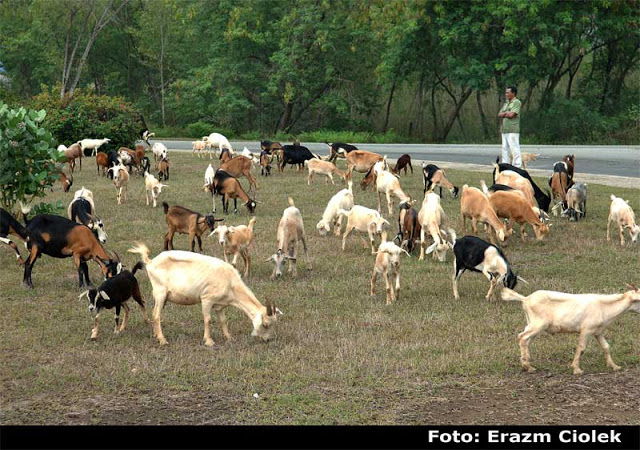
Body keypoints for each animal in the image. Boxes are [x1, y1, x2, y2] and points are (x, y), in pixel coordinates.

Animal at [129, 243, 278, 344]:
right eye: (265, 324)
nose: (267, 340)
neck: (231, 282)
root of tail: (150, 262)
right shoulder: (207, 299)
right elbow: (208, 319)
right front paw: (209, 341)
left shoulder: (220, 305)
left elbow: (223, 321)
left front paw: (229, 337)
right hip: (161, 292)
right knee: (156, 314)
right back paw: (163, 340)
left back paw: (156, 335)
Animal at [504, 284, 640, 376]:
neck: (603, 307)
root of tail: (526, 299)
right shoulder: (586, 330)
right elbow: (581, 348)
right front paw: (577, 369)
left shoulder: (598, 332)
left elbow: (606, 347)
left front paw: (615, 366)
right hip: (538, 324)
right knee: (522, 337)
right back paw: (527, 366)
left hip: (532, 324)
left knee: (526, 340)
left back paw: (528, 365)